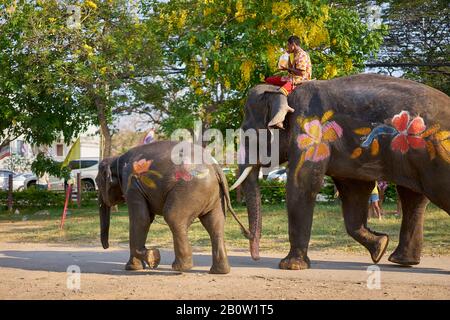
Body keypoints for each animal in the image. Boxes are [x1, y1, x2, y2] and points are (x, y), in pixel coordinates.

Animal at [95, 141, 250, 274]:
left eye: (97, 181)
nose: (106, 246)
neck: (116, 159)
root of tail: (216, 167)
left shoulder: (131, 184)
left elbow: (141, 220)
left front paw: (152, 258)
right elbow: (146, 219)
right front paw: (136, 266)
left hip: (190, 189)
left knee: (173, 217)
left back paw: (180, 268)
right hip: (214, 197)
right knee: (215, 224)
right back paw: (219, 271)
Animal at [232, 74, 450, 270]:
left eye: (248, 134)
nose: (256, 258)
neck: (285, 94)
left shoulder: (311, 134)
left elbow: (302, 185)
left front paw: (290, 266)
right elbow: (354, 192)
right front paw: (380, 246)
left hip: (438, 160)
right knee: (413, 198)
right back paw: (402, 261)